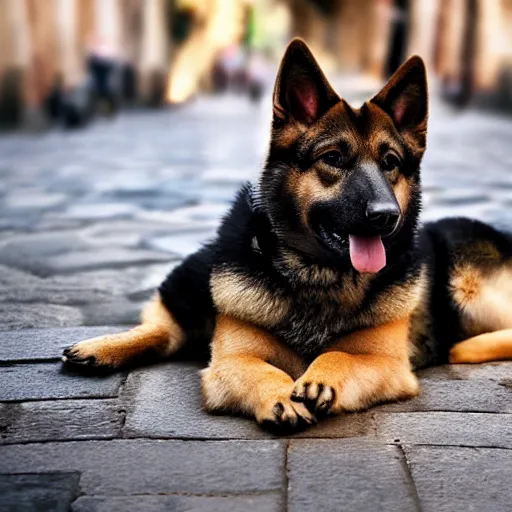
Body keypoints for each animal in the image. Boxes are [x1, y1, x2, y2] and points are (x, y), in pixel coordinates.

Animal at [63, 39, 512, 432]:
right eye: (333, 159)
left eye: (391, 163)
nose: (387, 216)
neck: (318, 276)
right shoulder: (232, 360)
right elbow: (255, 367)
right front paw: (279, 396)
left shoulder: (387, 363)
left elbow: (340, 353)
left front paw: (322, 376)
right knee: (169, 324)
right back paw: (102, 348)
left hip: (467, 286)